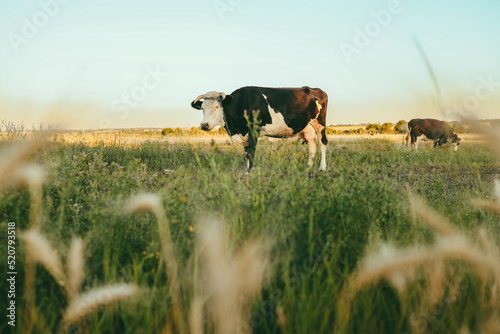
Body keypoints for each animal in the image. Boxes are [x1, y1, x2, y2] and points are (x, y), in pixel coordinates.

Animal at [191, 87, 328, 170]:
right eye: (202, 108)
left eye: (216, 107)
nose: (204, 125)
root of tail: (314, 89)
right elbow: (247, 153)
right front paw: (246, 170)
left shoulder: (253, 130)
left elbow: (251, 152)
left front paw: (249, 172)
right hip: (307, 127)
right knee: (312, 144)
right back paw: (308, 167)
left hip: (320, 124)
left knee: (323, 143)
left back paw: (322, 168)